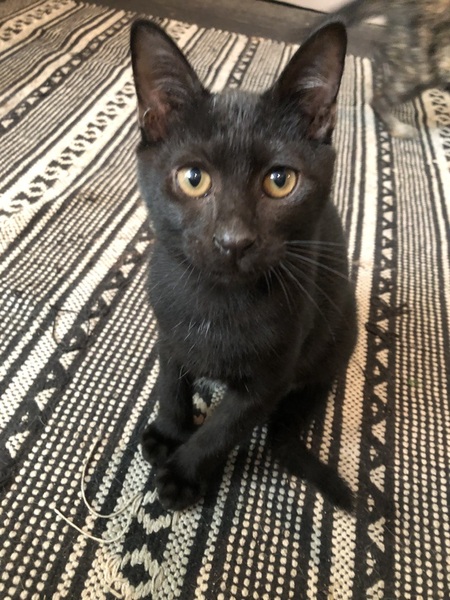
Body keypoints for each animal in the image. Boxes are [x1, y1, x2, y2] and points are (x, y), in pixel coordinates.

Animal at [130, 19, 357, 511]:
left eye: (281, 180)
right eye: (193, 178)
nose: (233, 240)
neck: (216, 301)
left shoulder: (268, 381)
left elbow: (224, 428)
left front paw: (181, 473)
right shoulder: (168, 331)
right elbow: (170, 382)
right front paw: (170, 432)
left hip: (332, 342)